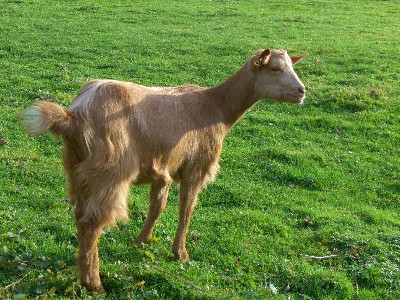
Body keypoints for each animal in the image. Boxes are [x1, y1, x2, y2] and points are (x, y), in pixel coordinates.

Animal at [21, 48, 306, 292]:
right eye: (275, 68)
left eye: (291, 66)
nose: (302, 91)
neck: (216, 108)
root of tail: (74, 116)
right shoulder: (194, 168)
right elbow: (186, 211)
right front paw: (180, 254)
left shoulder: (164, 169)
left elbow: (157, 207)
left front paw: (141, 241)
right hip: (109, 172)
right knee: (90, 222)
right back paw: (94, 283)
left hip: (77, 170)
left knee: (80, 216)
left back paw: (84, 273)